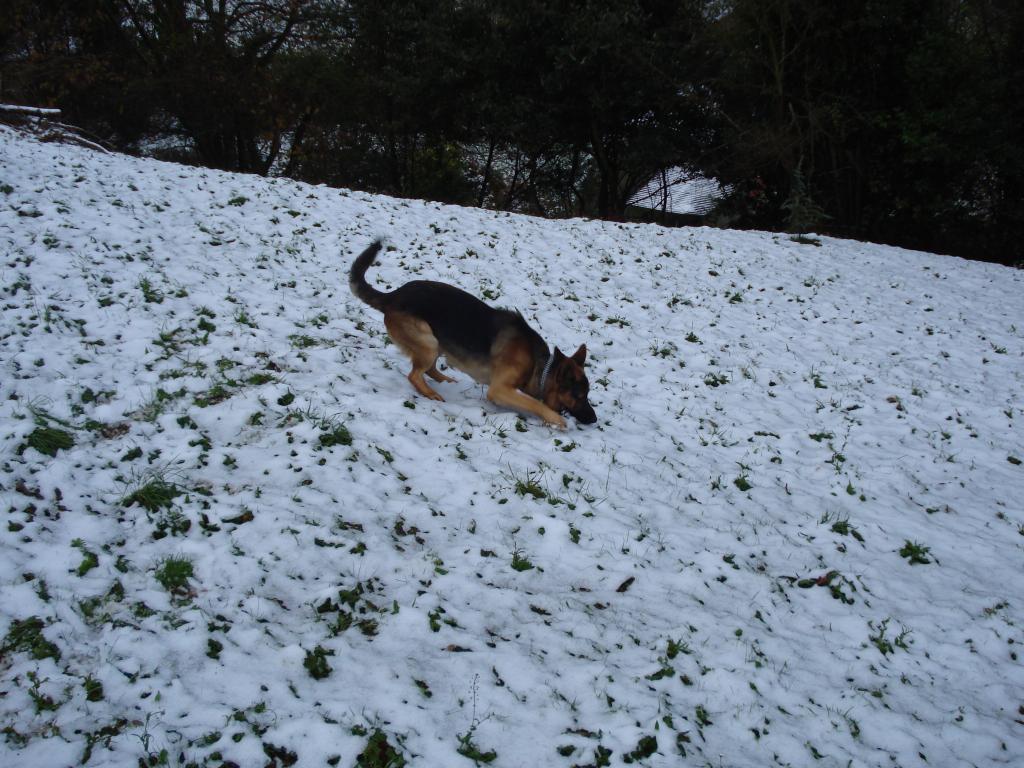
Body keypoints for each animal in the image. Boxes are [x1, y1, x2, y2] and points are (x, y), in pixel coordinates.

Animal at [350, 240, 598, 430]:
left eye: (586, 395)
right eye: (579, 396)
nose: (594, 419)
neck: (541, 366)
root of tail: (393, 296)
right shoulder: (500, 390)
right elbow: (536, 404)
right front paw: (555, 420)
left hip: (437, 341)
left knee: (428, 369)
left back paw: (445, 380)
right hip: (428, 341)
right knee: (414, 375)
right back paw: (431, 393)